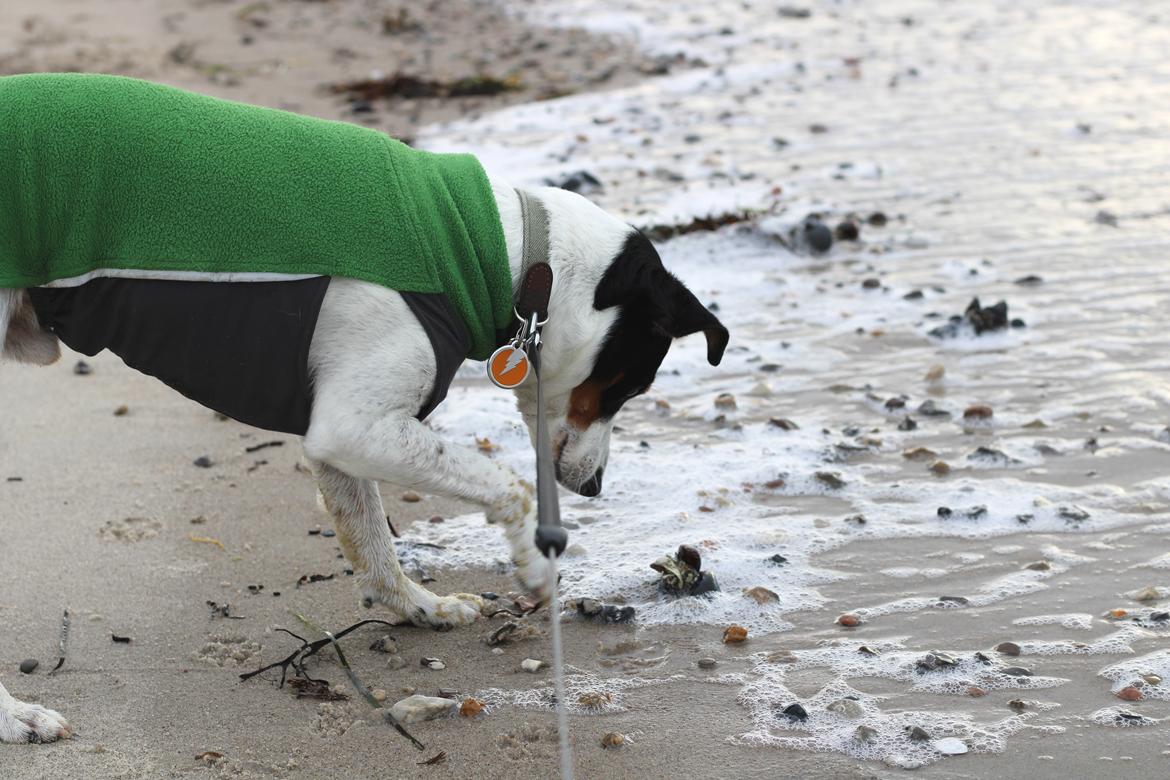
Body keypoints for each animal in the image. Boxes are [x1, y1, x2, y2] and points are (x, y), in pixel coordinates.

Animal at [0, 79, 725, 743]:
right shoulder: (355, 424)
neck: (495, 249)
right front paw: (534, 562)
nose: (596, 487)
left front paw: (420, 607)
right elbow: (510, 486)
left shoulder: (337, 441)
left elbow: (372, 541)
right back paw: (16, 717)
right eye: (628, 386)